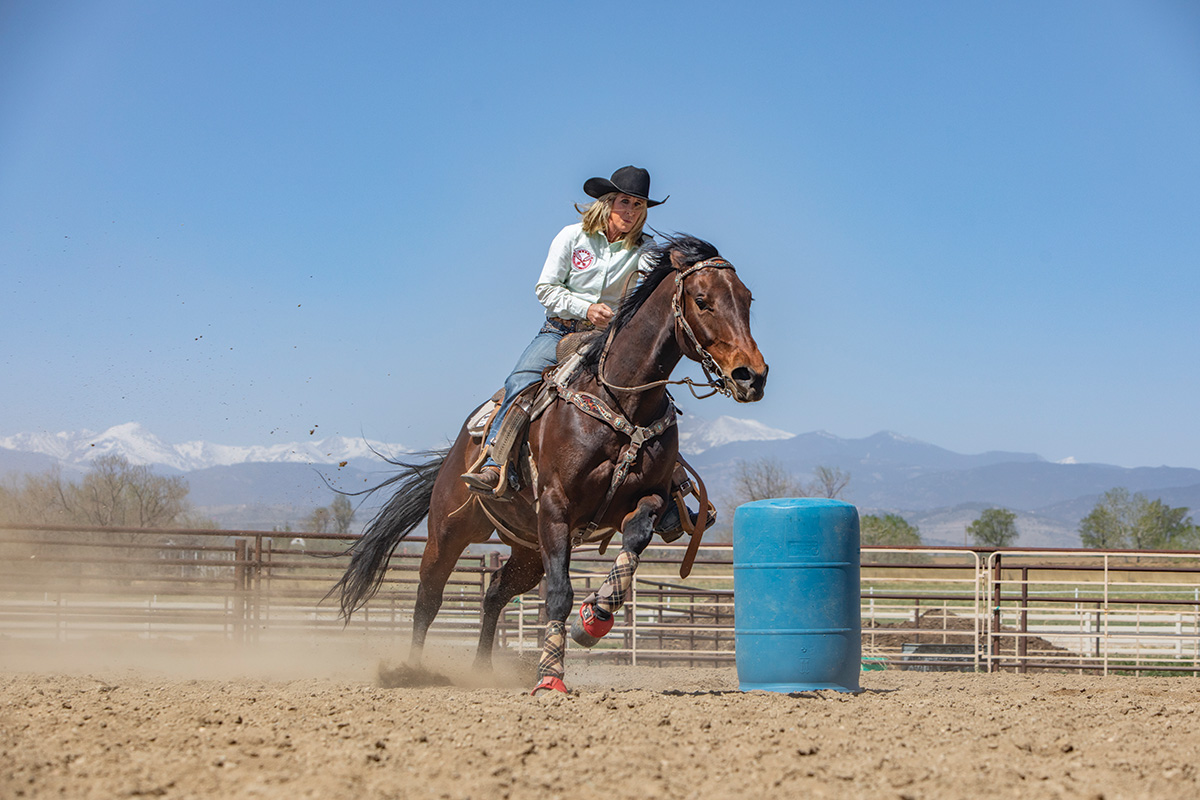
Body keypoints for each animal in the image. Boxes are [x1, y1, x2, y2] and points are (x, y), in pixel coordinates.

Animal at [336, 232, 768, 695]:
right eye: (702, 300)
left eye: (747, 298)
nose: (752, 376)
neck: (622, 401)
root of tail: (456, 455)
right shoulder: (556, 507)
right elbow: (559, 593)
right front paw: (550, 677)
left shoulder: (644, 499)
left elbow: (634, 542)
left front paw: (593, 620)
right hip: (451, 530)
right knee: (429, 596)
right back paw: (411, 671)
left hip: (527, 549)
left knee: (495, 593)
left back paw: (483, 670)